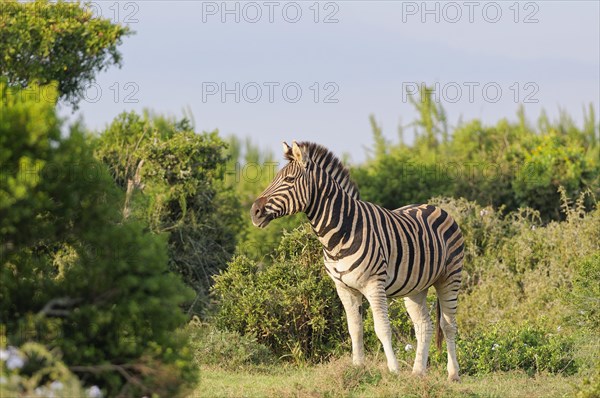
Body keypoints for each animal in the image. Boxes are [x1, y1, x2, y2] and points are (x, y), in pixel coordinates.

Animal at [248, 141, 464, 380]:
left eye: (288, 180)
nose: (254, 212)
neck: (340, 233)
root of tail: (434, 207)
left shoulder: (374, 284)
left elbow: (382, 328)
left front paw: (393, 370)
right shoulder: (344, 287)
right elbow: (355, 328)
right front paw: (358, 367)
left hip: (450, 278)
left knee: (448, 325)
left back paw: (453, 374)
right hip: (416, 287)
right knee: (424, 325)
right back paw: (417, 373)